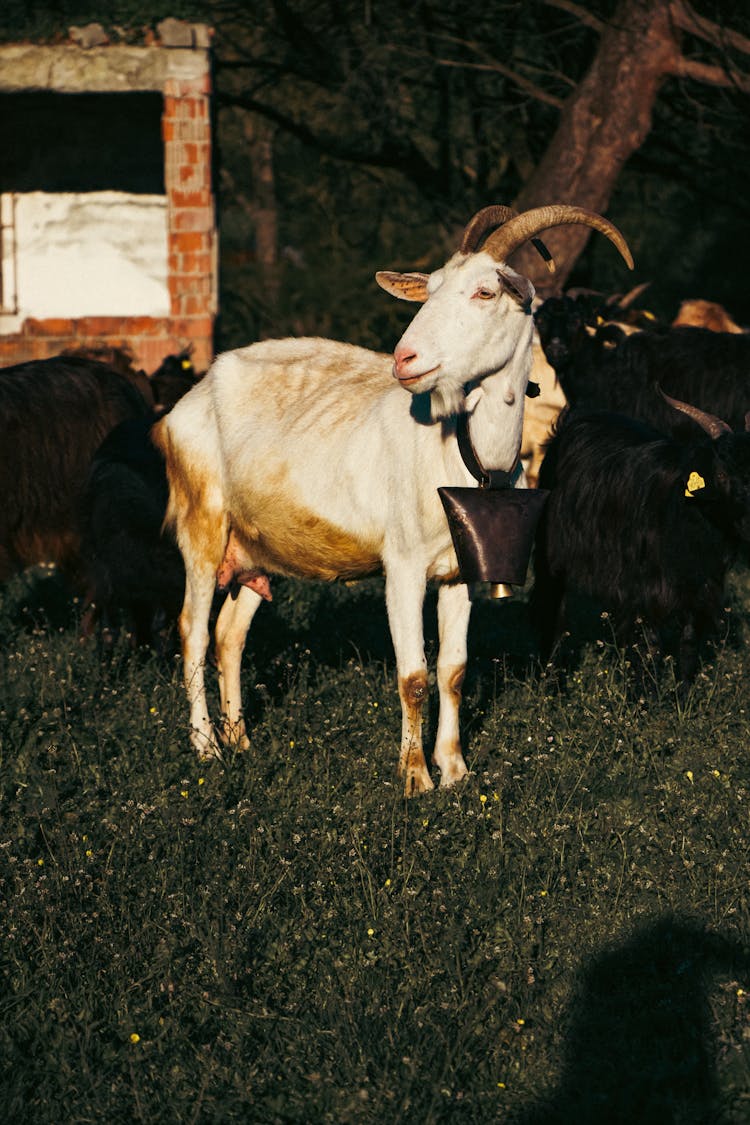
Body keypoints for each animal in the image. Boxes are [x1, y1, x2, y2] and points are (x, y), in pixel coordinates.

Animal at [154, 207, 634, 796]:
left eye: (484, 292)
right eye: (431, 289)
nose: (405, 358)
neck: (465, 452)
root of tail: (183, 405)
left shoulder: (459, 572)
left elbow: (453, 670)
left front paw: (454, 770)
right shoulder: (402, 566)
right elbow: (413, 675)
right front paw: (415, 778)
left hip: (257, 547)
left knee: (229, 635)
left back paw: (241, 739)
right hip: (202, 522)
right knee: (193, 631)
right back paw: (206, 748)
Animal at [530, 391, 750, 679]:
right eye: (721, 473)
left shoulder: (700, 591)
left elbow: (689, 644)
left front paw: (683, 691)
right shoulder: (644, 590)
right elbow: (650, 647)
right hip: (552, 557)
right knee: (553, 608)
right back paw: (549, 675)